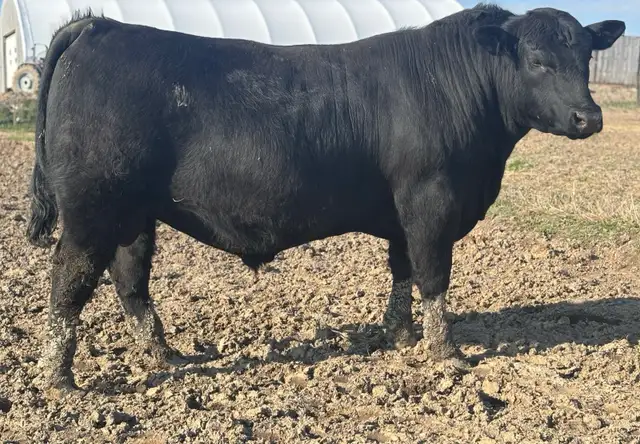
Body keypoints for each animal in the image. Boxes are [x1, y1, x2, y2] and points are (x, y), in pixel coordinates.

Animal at [26, 4, 624, 392]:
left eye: (585, 58)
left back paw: (166, 355)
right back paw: (61, 379)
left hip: (133, 213)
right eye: (539, 59)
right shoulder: (431, 201)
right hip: (92, 210)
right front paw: (446, 353)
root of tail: (99, 25)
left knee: (130, 278)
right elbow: (434, 276)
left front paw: (399, 335)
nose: (589, 117)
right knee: (69, 278)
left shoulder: (402, 212)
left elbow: (402, 270)